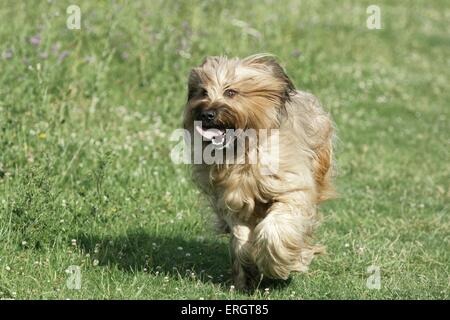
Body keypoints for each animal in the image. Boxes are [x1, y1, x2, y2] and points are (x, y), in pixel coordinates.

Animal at [182, 53, 334, 288]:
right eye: (202, 92)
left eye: (231, 92)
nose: (207, 114)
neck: (242, 153)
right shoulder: (232, 200)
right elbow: (240, 236)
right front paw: (248, 269)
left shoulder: (292, 188)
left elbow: (276, 227)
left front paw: (276, 264)